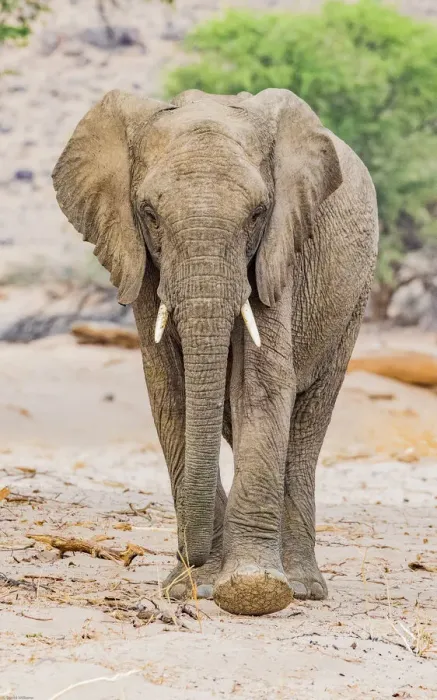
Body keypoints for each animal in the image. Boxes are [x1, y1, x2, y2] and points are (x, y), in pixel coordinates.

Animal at [52, 87, 378, 616]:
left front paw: (251, 590)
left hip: (353, 300)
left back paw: (301, 586)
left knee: (307, 421)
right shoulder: (141, 263)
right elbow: (172, 391)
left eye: (258, 213)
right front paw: (194, 586)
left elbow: (261, 386)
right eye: (149, 214)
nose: (191, 557)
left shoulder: (278, 252)